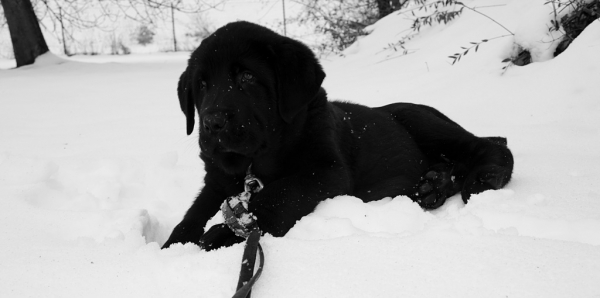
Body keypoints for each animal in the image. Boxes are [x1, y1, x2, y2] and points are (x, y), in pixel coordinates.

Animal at [162, 21, 512, 249]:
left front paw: (227, 232)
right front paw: (173, 245)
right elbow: (194, 213)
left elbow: (277, 195)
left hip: (418, 120)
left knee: (490, 144)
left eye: (247, 77)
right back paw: (433, 185)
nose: (212, 122)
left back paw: (484, 177)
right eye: (202, 85)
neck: (254, 163)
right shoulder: (216, 180)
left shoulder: (326, 171)